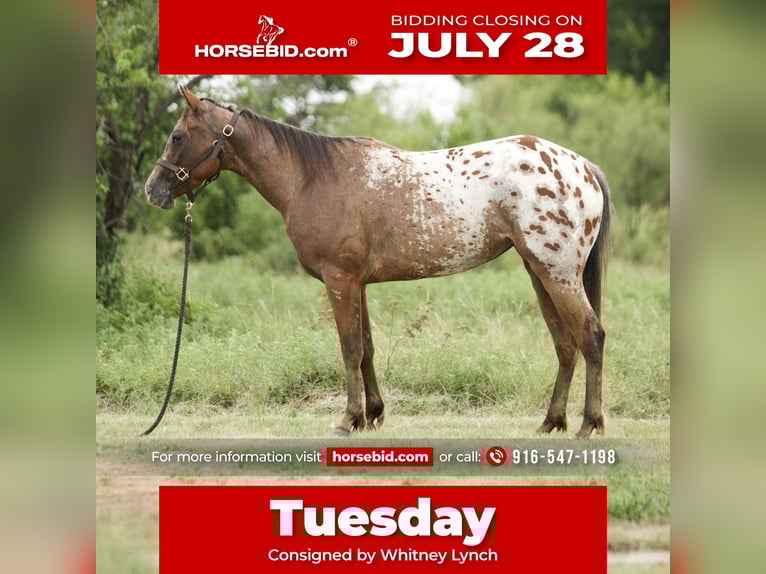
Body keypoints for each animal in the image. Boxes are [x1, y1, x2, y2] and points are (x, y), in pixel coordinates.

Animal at [144, 86, 613, 439]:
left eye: (177, 136)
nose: (153, 189)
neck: (312, 178)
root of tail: (583, 167)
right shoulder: (358, 283)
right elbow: (367, 347)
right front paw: (372, 415)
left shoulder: (339, 279)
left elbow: (350, 348)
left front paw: (347, 419)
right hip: (539, 273)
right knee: (566, 344)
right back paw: (551, 423)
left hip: (557, 273)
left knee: (590, 336)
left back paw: (588, 425)